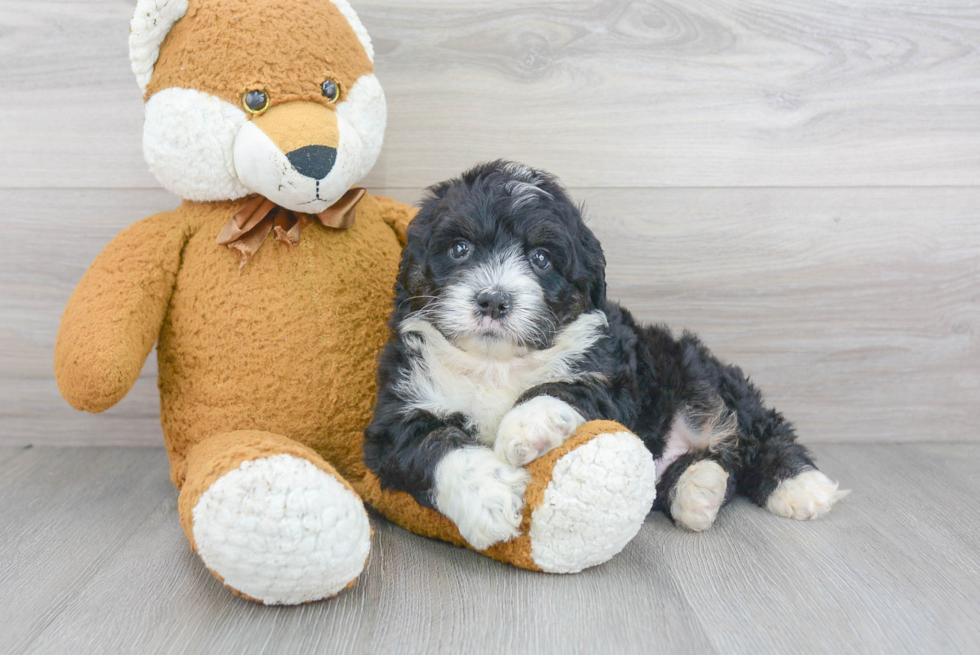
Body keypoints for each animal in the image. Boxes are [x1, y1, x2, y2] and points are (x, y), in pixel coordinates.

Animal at [364, 161, 848, 552]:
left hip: (701, 372)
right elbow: (435, 444)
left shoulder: (613, 377)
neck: (495, 363)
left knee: (758, 430)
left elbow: (563, 385)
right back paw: (698, 490)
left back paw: (801, 486)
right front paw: (490, 498)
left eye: (541, 258)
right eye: (459, 248)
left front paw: (525, 426)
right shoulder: (397, 414)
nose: (494, 300)